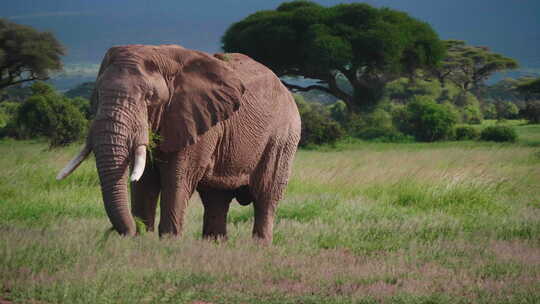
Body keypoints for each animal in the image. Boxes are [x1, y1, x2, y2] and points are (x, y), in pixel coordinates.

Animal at [57, 44, 302, 245]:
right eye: (97, 95)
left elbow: (177, 178)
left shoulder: (198, 121)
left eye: (149, 97)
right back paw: (214, 245)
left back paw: (259, 246)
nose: (125, 232)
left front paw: (168, 243)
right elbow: (144, 181)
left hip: (283, 137)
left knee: (265, 196)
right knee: (216, 198)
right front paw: (142, 240)